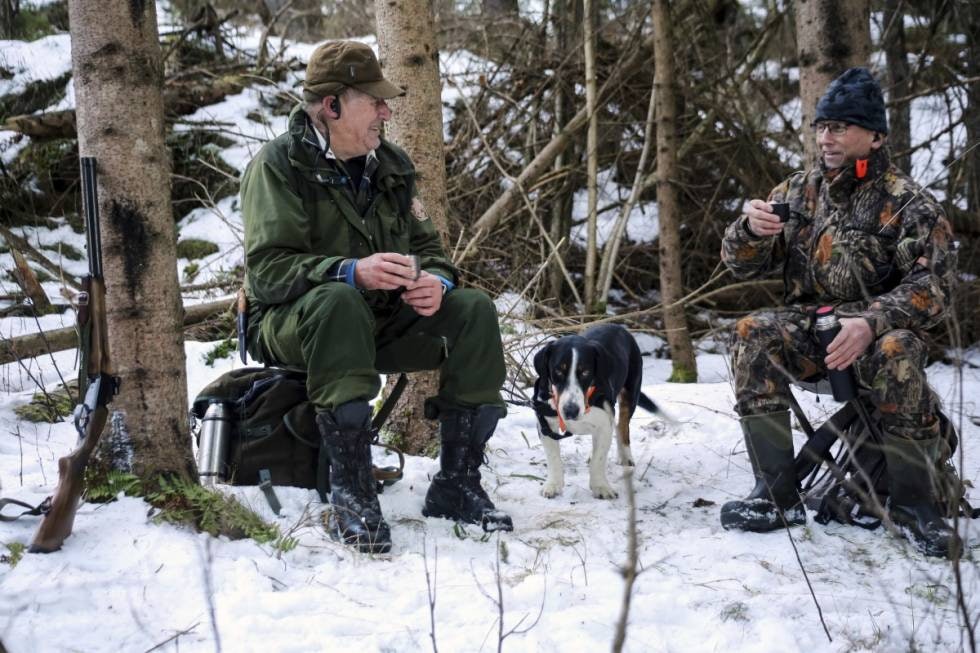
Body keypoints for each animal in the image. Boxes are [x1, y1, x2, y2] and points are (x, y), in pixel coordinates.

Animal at [528, 322, 660, 500]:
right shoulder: (546, 424)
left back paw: (625, 456)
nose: (570, 410)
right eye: (558, 371)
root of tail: (616, 325)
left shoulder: (604, 423)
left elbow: (600, 458)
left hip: (631, 393)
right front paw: (553, 485)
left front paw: (601, 487)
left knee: (623, 427)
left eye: (585, 372)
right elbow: (553, 458)